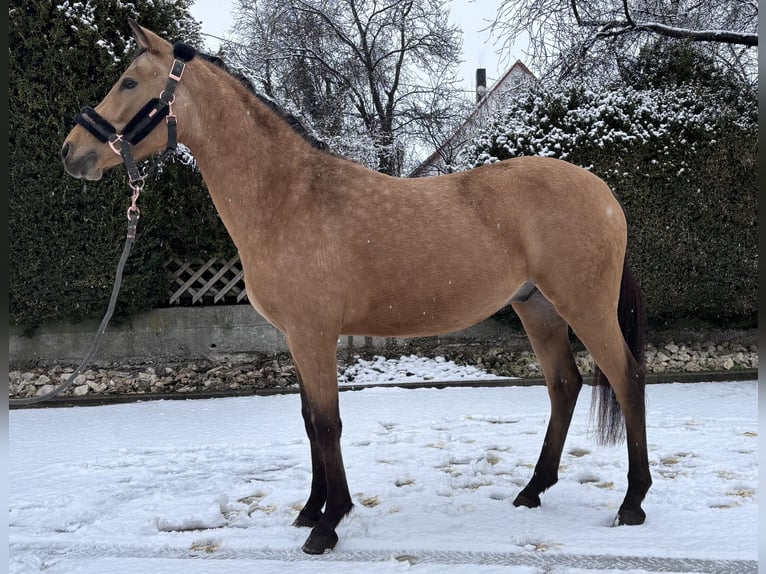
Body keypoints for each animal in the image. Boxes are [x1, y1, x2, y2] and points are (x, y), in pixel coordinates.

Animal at [60, 20, 652, 556]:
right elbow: (309, 422)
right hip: (538, 307)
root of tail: (605, 193)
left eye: (129, 82)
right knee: (564, 385)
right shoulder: (297, 338)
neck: (288, 198)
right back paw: (532, 490)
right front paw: (309, 510)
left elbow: (327, 424)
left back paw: (632, 502)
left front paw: (329, 524)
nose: (71, 151)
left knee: (626, 378)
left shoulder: (314, 335)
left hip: (584, 305)